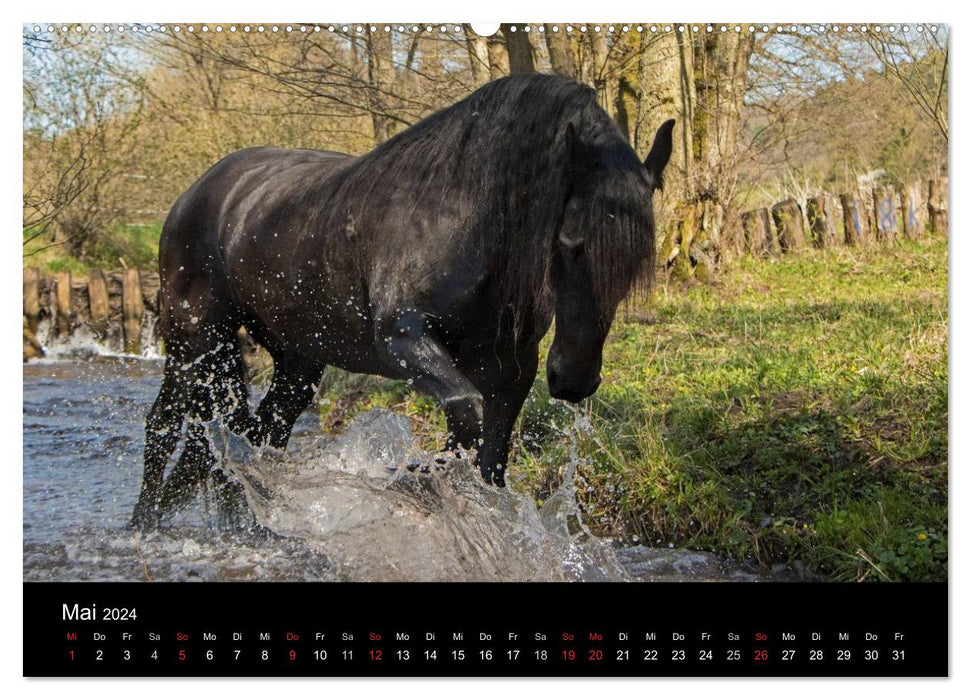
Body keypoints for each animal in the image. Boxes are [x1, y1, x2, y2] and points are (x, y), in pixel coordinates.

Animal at [133, 74, 672, 528]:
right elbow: (466, 413)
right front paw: (417, 482)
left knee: (260, 436)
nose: (575, 380)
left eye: (635, 262)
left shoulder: (510, 369)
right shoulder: (404, 339)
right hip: (195, 343)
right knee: (164, 426)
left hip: (296, 360)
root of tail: (199, 191)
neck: (466, 215)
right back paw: (144, 526)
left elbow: (488, 458)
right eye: (569, 242)